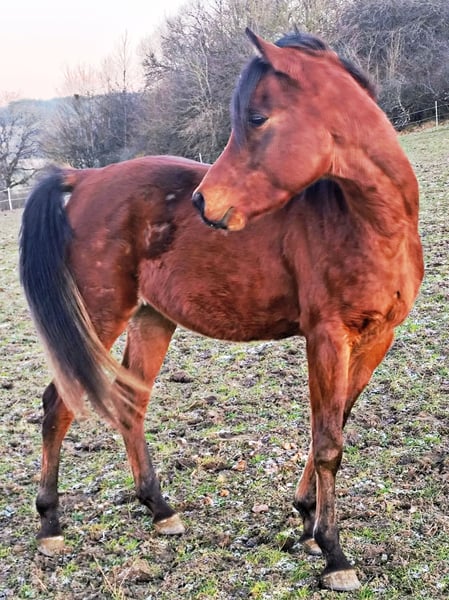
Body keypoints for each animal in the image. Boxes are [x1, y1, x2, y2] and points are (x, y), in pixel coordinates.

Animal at [193, 30, 424, 590]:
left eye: (257, 118)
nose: (202, 201)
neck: (374, 226)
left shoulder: (375, 338)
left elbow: (336, 419)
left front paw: (306, 515)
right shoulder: (326, 338)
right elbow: (328, 441)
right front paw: (334, 552)